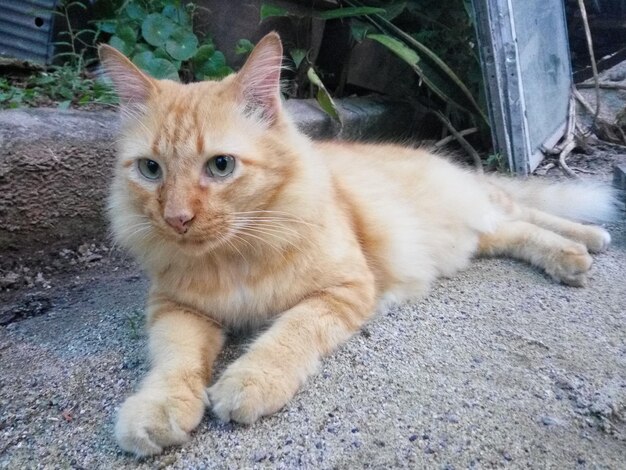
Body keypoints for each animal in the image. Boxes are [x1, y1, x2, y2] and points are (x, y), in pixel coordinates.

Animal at [98, 32, 616, 456]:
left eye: (220, 166)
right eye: (150, 170)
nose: (177, 219)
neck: (233, 257)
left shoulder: (342, 290)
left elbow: (286, 336)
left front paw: (251, 381)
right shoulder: (176, 309)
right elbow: (175, 360)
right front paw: (156, 409)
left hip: (480, 208)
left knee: (526, 212)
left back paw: (586, 243)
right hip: (477, 235)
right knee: (516, 229)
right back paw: (576, 251)